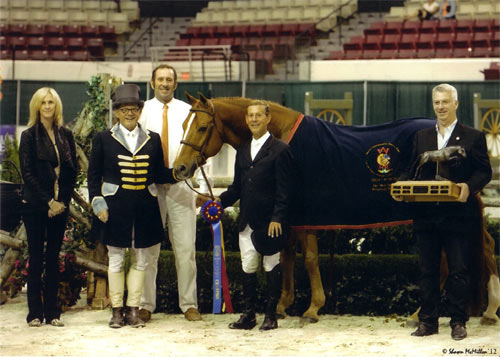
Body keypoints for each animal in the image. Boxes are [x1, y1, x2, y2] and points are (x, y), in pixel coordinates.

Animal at [173, 93, 500, 324]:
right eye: (183, 125)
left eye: (202, 127)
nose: (179, 168)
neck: (281, 136)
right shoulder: (290, 216)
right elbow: (287, 257)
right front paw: (282, 305)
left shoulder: (307, 215)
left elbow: (309, 260)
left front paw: (312, 308)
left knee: (462, 255)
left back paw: (433, 314)